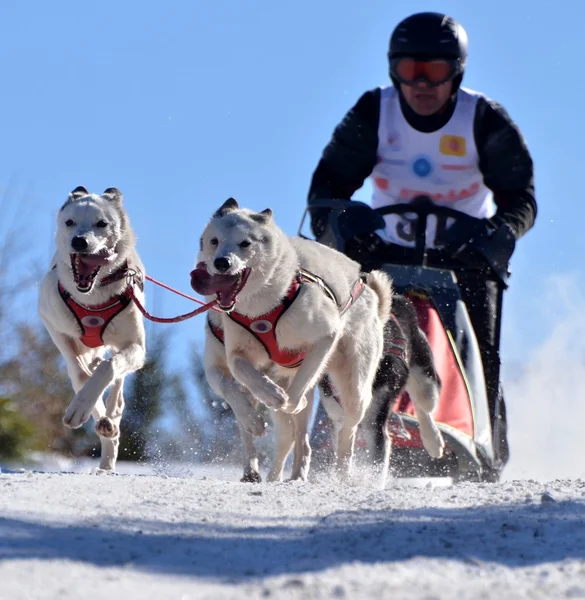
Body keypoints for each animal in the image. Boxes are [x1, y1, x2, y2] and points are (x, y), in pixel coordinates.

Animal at [38, 185, 146, 472]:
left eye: (101, 223)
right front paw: (84, 405)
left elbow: (109, 367)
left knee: (116, 388)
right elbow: (79, 375)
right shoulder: (52, 322)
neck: (93, 296)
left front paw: (89, 403)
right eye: (69, 222)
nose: (80, 241)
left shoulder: (136, 347)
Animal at [192, 199, 392, 486]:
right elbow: (239, 382)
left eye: (245, 243)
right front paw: (260, 410)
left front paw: (286, 401)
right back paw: (277, 473)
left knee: (345, 431)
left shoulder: (325, 337)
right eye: (214, 241)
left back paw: (338, 474)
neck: (260, 310)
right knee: (291, 440)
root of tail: (371, 294)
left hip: (355, 387)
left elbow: (296, 393)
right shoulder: (228, 359)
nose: (221, 262)